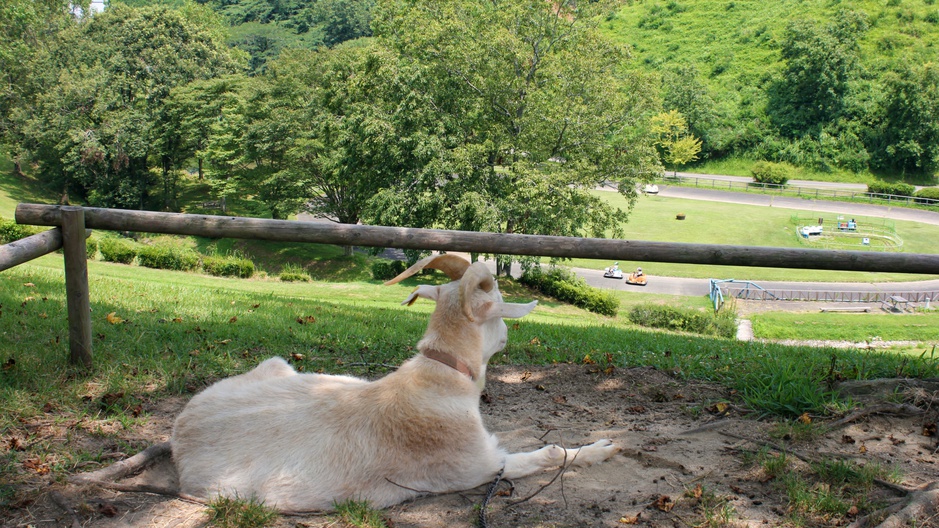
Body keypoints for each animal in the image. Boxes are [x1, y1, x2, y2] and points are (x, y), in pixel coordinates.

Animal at [173, 256, 620, 512]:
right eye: (498, 309)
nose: (507, 334)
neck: (438, 381)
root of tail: (179, 432)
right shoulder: (482, 465)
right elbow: (551, 453)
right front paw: (604, 447)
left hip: (289, 368)